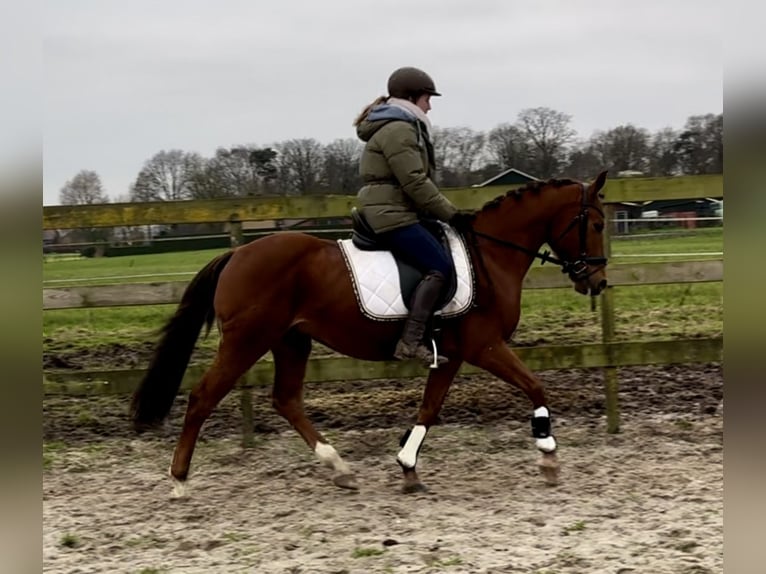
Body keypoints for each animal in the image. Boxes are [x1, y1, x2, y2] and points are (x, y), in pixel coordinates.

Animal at [130, 170, 612, 496]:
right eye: (598, 224)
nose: (597, 281)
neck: (490, 255)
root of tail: (236, 254)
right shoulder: (485, 346)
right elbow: (535, 386)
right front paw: (548, 455)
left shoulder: (451, 354)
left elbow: (429, 409)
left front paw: (408, 466)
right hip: (246, 341)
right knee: (202, 398)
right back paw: (179, 480)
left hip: (291, 341)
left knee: (285, 400)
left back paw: (338, 467)